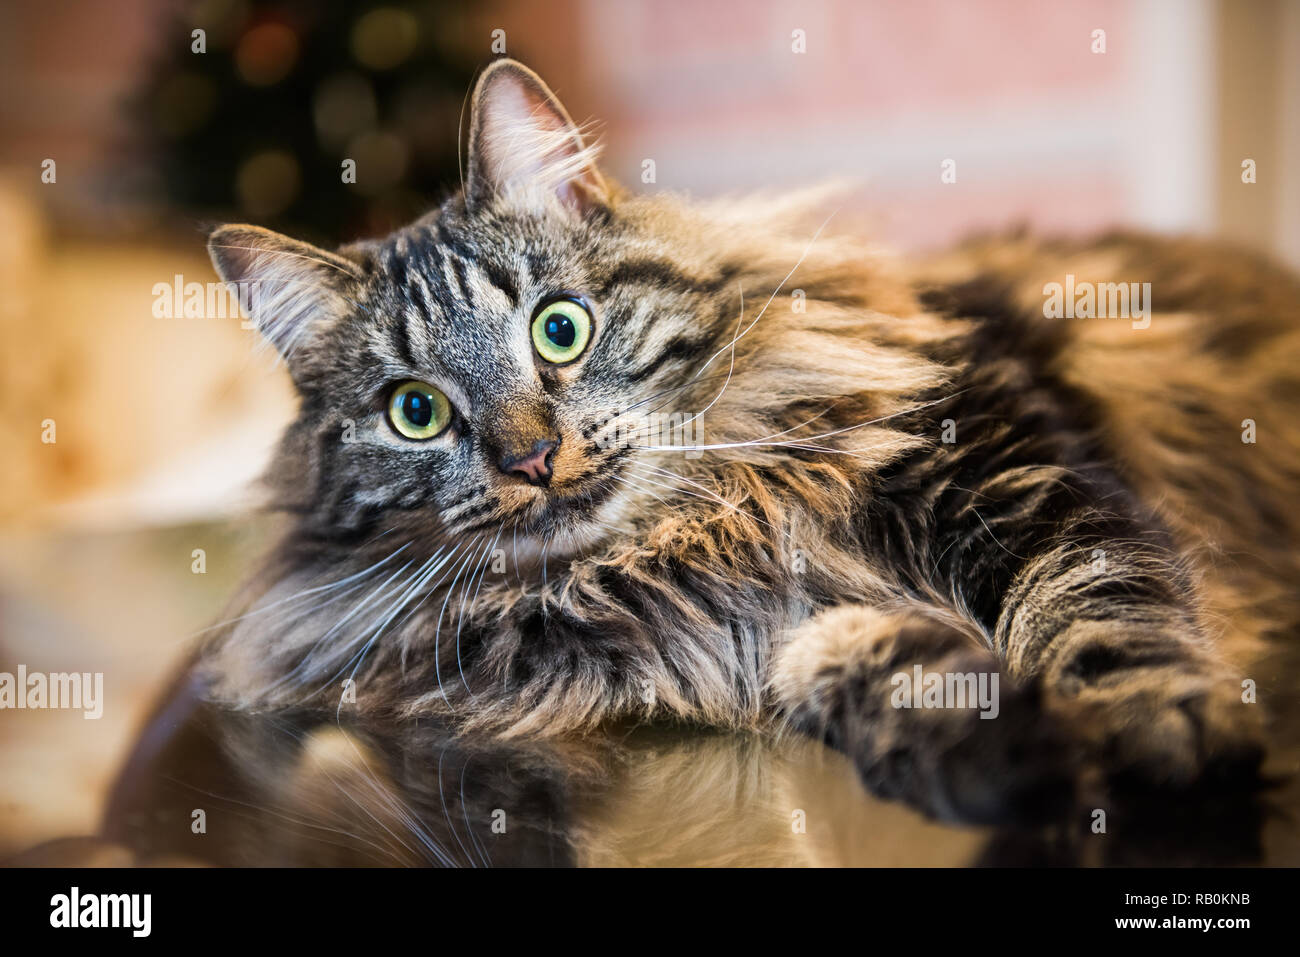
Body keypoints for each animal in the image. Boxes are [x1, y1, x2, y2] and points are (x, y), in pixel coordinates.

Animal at [197, 57, 1294, 821]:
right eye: (415, 412)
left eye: (559, 329)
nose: (531, 458)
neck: (693, 542)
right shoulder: (772, 642)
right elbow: (893, 674)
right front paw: (996, 757)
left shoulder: (1008, 467)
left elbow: (1100, 607)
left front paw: (1148, 736)